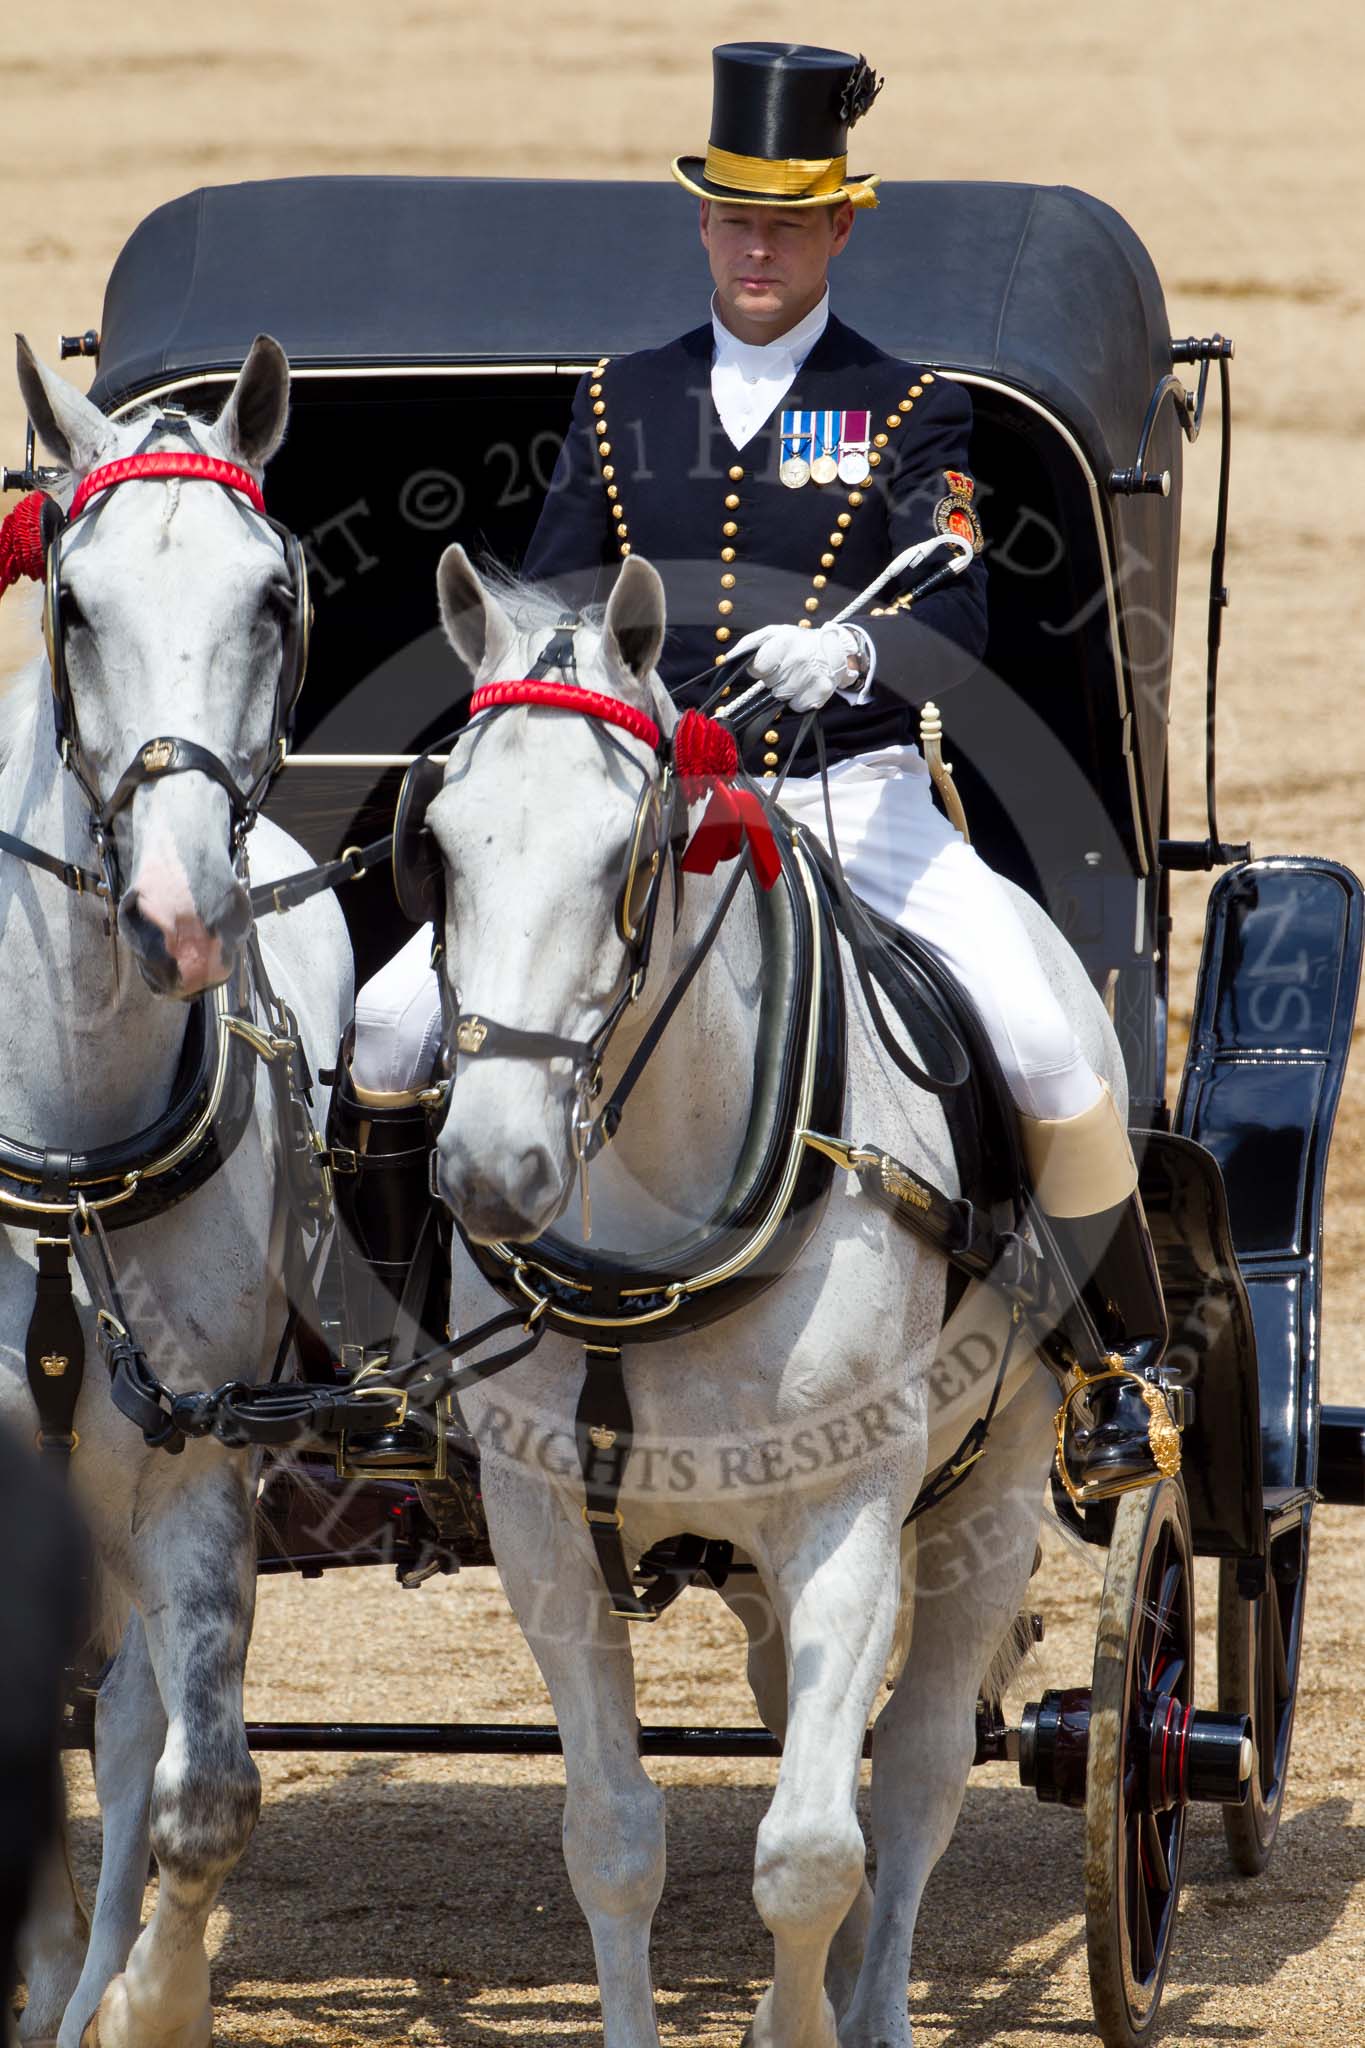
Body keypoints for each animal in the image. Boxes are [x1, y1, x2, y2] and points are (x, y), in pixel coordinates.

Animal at [431, 548, 1129, 2048]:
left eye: (624, 854)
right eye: (442, 841)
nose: (494, 1169)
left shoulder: (846, 1507)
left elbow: (809, 1849)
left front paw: (802, 2019)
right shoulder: (542, 1528)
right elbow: (613, 1836)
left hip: (986, 1493)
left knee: (915, 1769)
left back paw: (872, 2000)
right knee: (810, 1721)